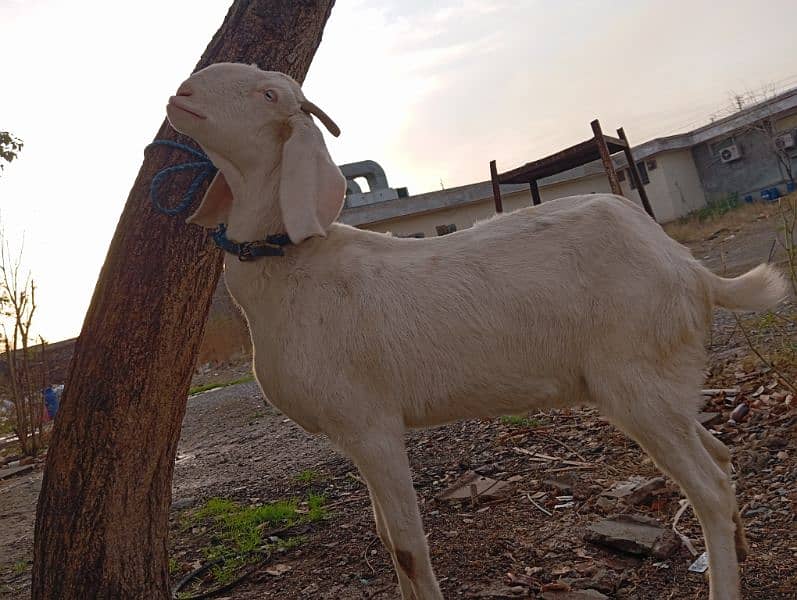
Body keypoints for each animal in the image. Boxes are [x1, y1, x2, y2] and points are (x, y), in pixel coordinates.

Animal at [166, 62, 784, 600]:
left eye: (269, 95)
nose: (182, 93)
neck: (292, 264)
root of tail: (691, 269)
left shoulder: (371, 425)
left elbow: (407, 546)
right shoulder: (354, 435)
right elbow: (387, 540)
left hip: (637, 380)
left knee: (708, 487)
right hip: (659, 382)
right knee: (720, 455)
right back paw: (740, 548)